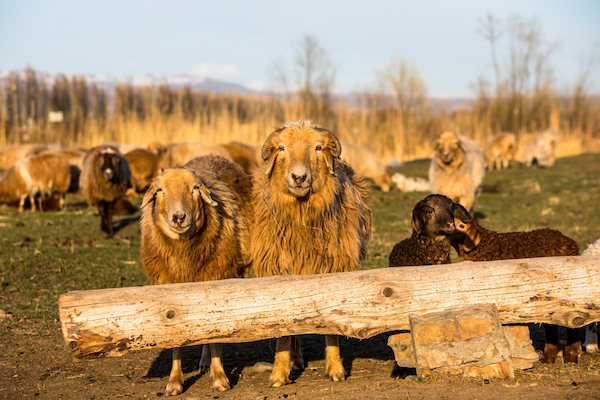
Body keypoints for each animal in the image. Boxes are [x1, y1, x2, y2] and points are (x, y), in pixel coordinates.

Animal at [141, 153, 253, 394]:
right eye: (159, 190)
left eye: (194, 188)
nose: (179, 217)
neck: (184, 255)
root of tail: (210, 155)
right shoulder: (168, 288)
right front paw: (174, 382)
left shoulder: (217, 280)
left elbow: (215, 336)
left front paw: (220, 377)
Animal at [251, 119, 372, 388]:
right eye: (281, 148)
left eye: (318, 147)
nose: (299, 177)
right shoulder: (279, 271)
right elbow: (283, 329)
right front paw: (279, 373)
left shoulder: (333, 269)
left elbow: (331, 325)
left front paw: (335, 369)